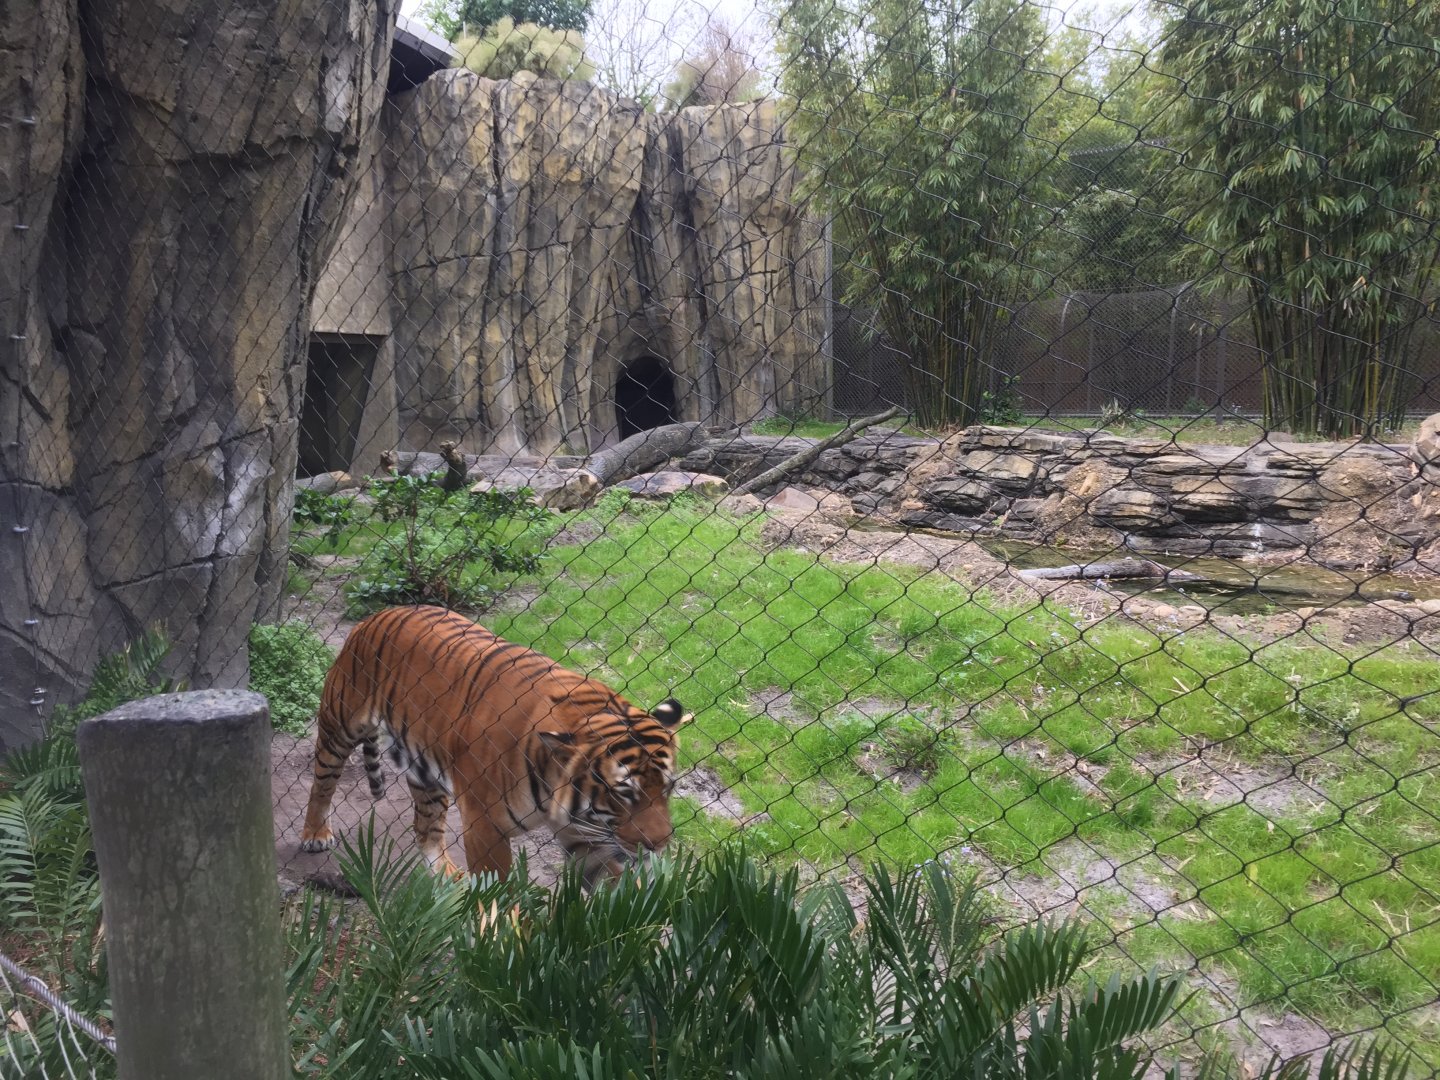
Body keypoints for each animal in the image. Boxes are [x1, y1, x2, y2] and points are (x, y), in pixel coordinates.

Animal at [298, 605, 690, 884]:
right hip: (339, 726)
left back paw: (446, 876)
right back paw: (315, 834)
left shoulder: (588, 835)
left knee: (426, 828)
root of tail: (377, 615)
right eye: (624, 792)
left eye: (667, 789)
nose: (659, 845)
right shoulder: (484, 825)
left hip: (426, 770)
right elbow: (497, 891)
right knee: (322, 783)